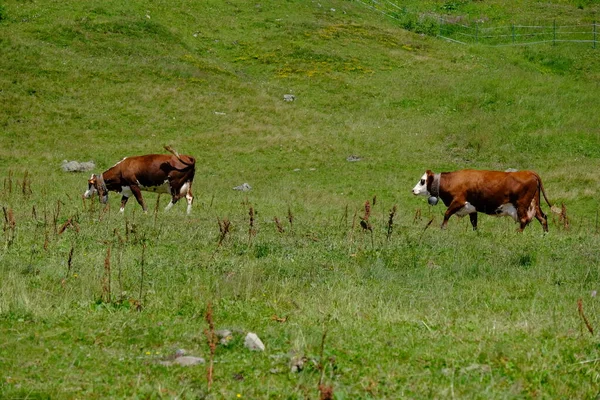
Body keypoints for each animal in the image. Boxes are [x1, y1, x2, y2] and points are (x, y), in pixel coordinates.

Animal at [412, 169, 552, 231]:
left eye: (422, 181)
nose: (413, 190)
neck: (452, 181)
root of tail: (529, 172)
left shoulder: (458, 201)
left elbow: (446, 214)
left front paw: (443, 229)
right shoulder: (472, 208)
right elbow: (474, 223)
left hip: (521, 205)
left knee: (524, 220)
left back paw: (518, 233)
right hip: (534, 204)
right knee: (543, 218)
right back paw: (544, 235)